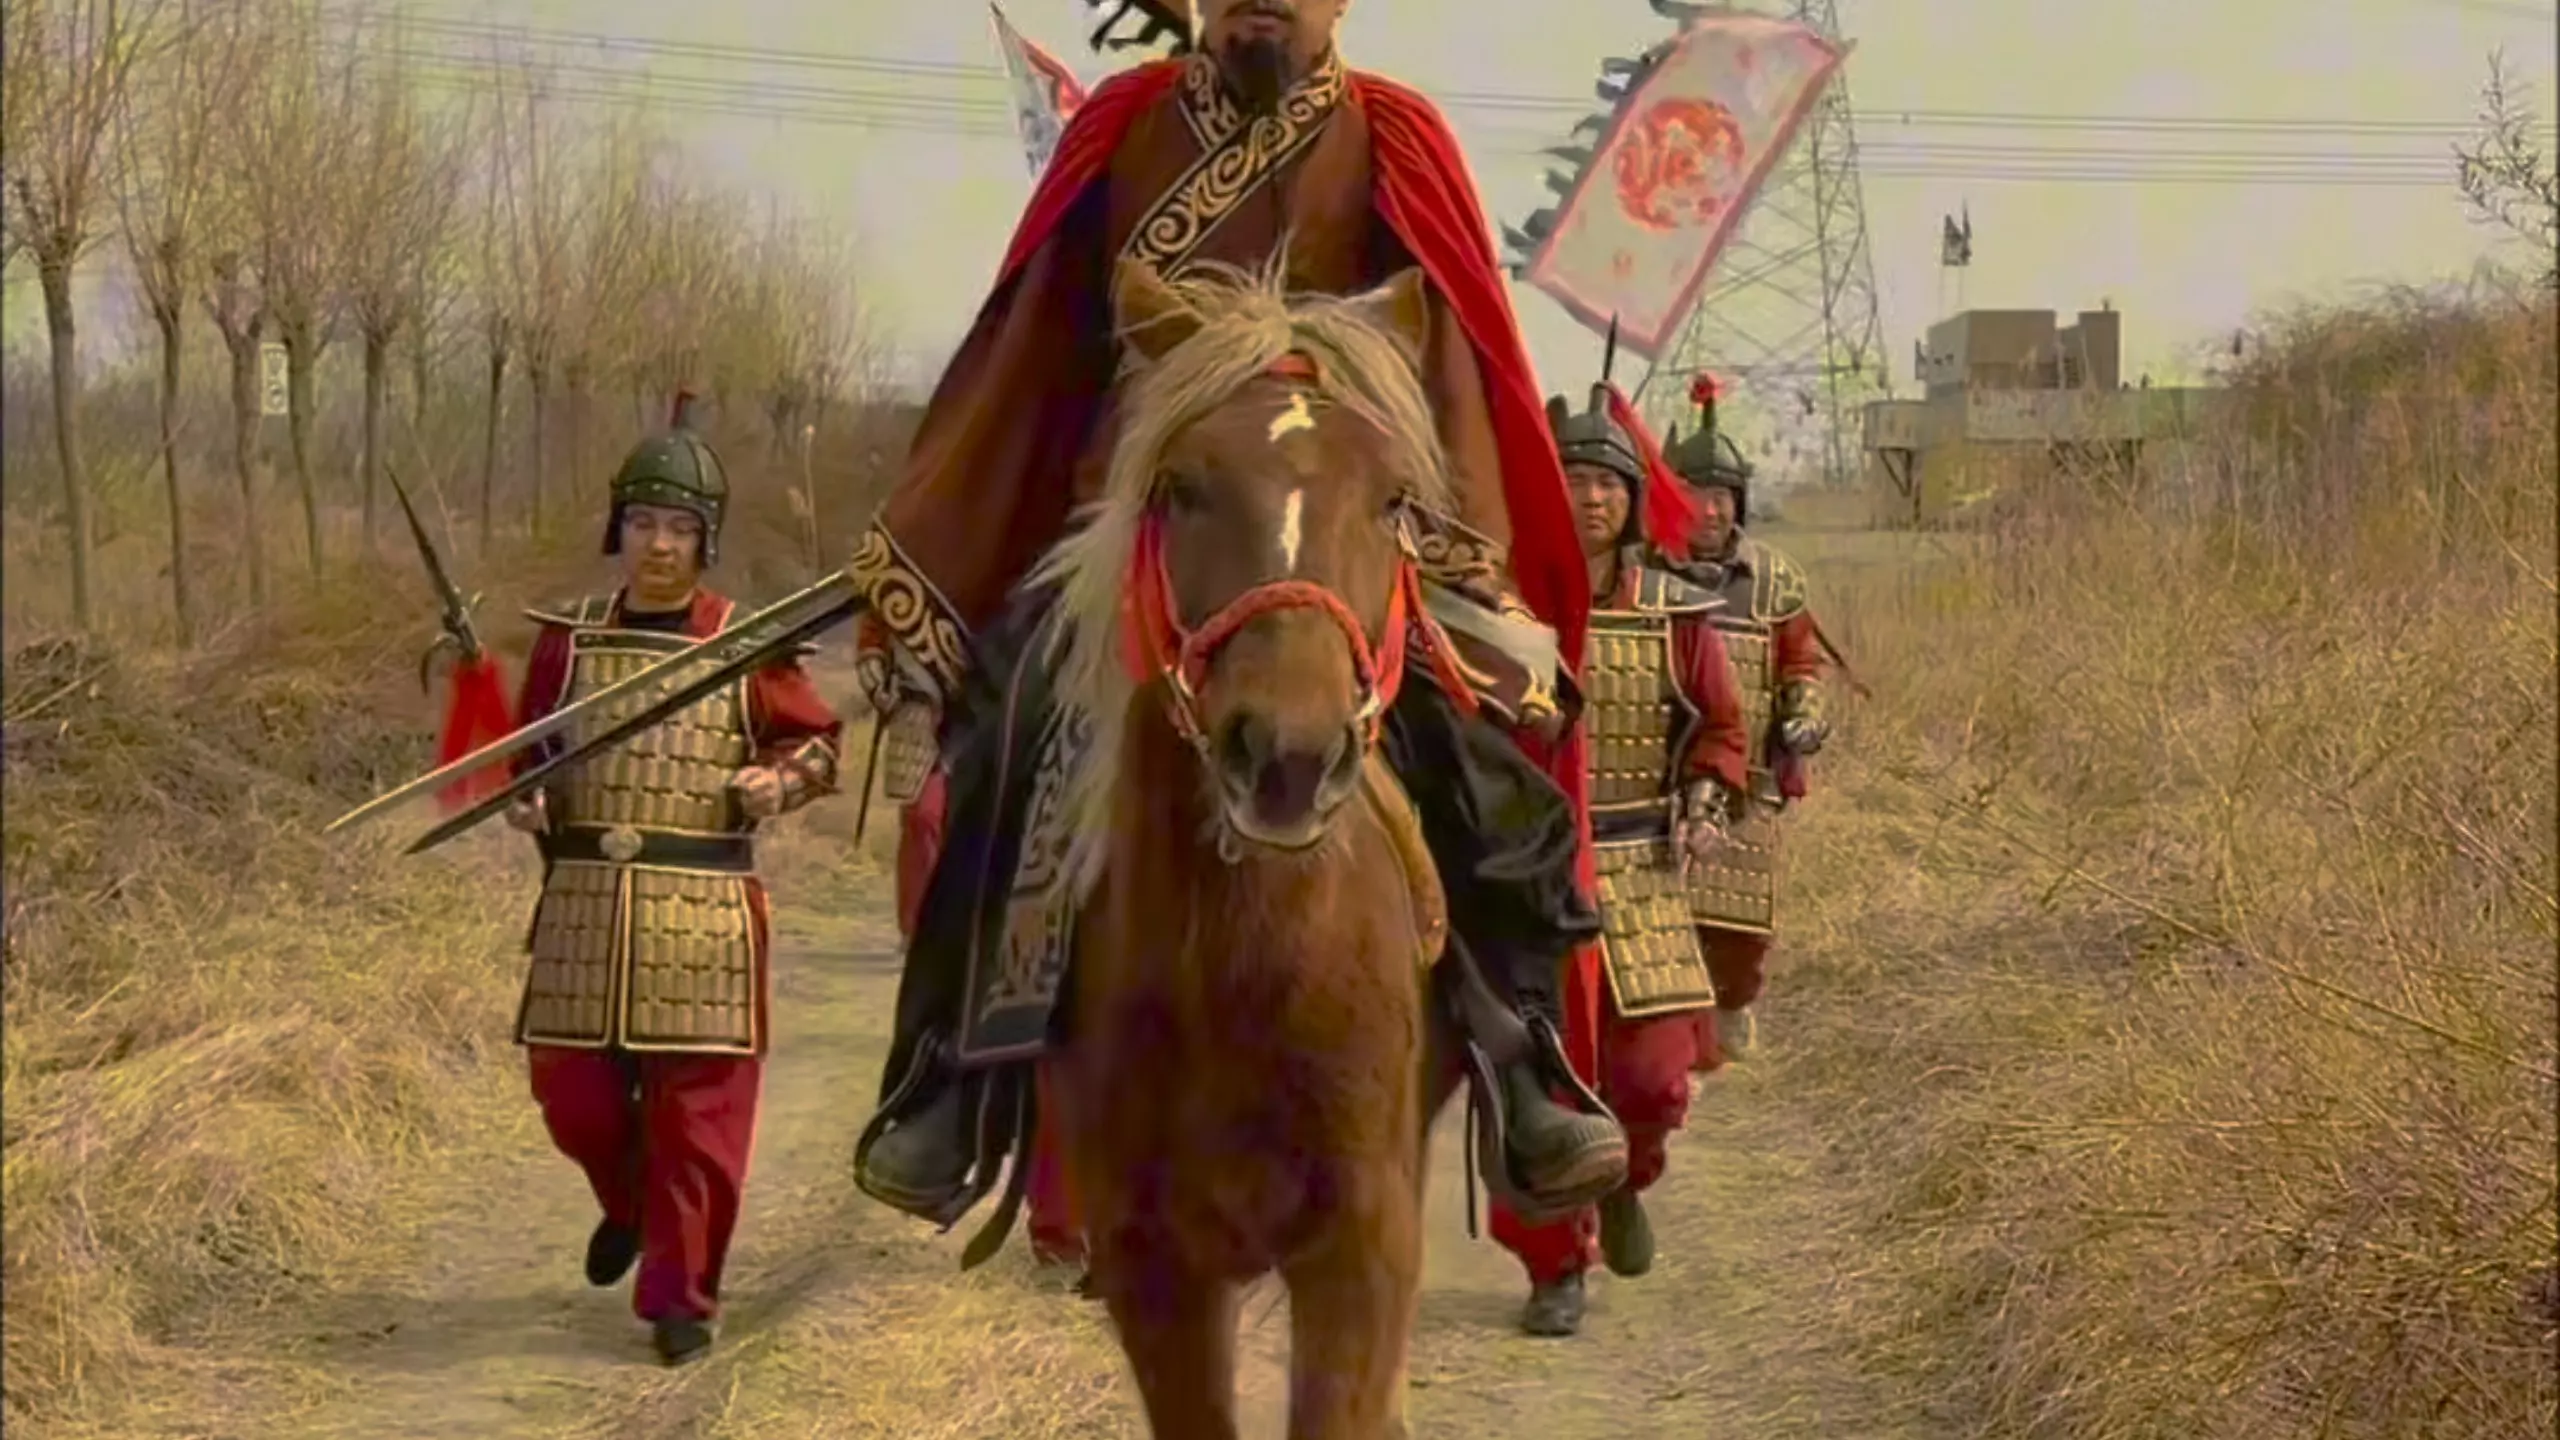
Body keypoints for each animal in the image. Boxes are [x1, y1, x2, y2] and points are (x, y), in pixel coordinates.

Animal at [1033, 256, 1474, 1439]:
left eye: (1393, 501)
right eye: (1183, 486)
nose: (1286, 757)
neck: (1239, 975)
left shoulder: (1361, 1255)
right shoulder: (1155, 1270)